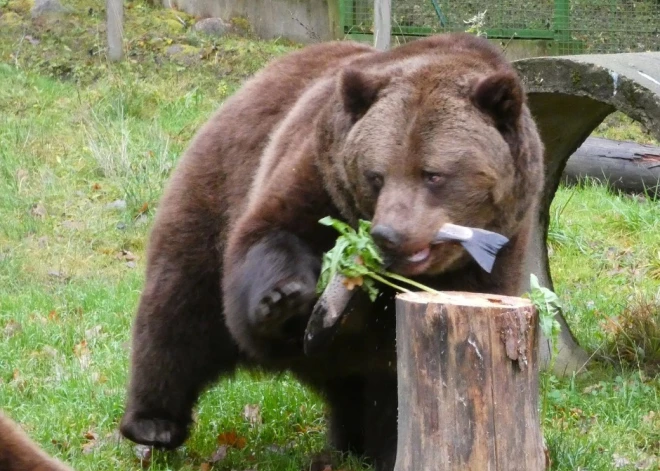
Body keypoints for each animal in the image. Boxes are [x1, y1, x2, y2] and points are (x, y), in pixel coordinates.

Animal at [118, 34, 540, 471]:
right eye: (376, 175)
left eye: (433, 174)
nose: (388, 235)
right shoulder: (318, 176)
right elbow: (269, 236)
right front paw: (283, 298)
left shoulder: (492, 259)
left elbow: (398, 374)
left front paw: (394, 446)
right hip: (217, 187)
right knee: (180, 309)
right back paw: (153, 423)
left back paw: (354, 443)